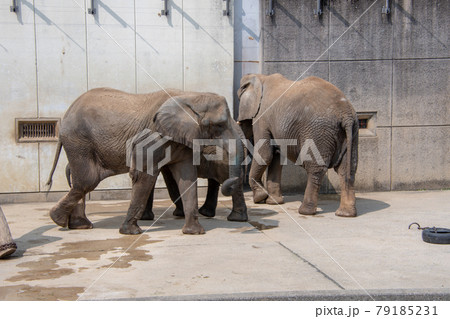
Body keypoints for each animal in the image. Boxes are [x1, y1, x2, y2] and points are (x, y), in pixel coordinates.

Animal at [47, 89, 244, 236]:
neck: (188, 95)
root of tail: (65, 116)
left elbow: (186, 176)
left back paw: (78, 225)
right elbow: (145, 175)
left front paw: (194, 232)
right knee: (88, 180)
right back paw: (59, 219)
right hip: (79, 141)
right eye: (220, 125)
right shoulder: (153, 136)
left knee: (82, 180)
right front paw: (132, 232)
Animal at [236, 73, 358, 218]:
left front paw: (260, 198)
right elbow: (276, 156)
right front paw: (273, 202)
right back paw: (345, 214)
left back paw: (305, 211)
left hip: (318, 132)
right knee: (347, 169)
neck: (261, 77)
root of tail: (345, 114)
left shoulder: (262, 118)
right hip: (351, 132)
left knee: (316, 169)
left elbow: (265, 154)